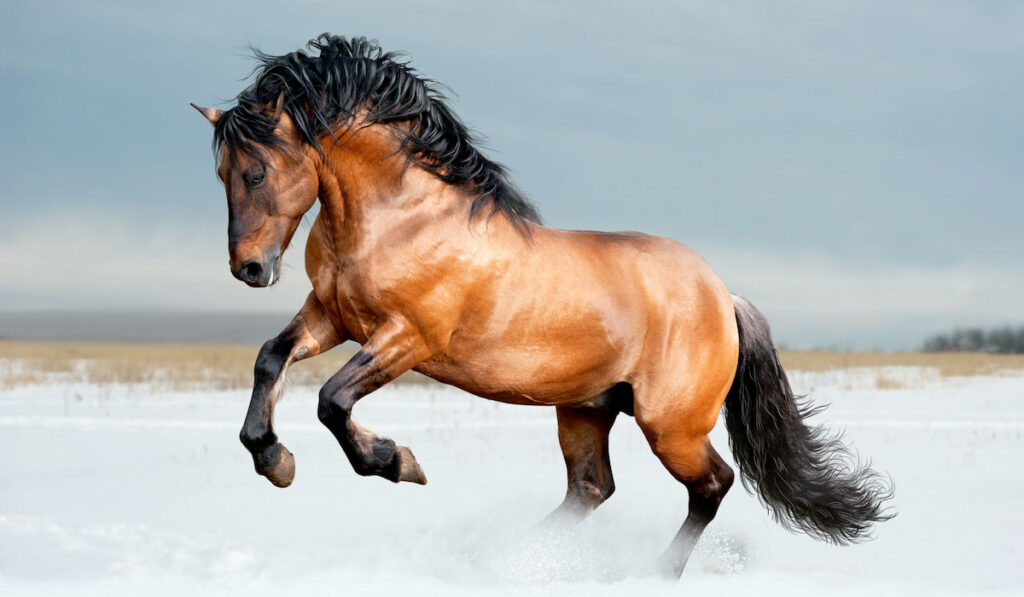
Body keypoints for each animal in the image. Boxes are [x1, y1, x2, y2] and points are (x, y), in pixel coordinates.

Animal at [190, 33, 888, 577]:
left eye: (255, 171)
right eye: (221, 174)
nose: (250, 269)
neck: (403, 218)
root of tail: (722, 294)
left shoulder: (407, 338)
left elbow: (333, 401)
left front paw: (398, 463)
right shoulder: (332, 316)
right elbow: (270, 359)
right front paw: (274, 460)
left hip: (671, 425)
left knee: (711, 485)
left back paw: (651, 572)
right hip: (587, 408)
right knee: (592, 488)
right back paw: (508, 558)